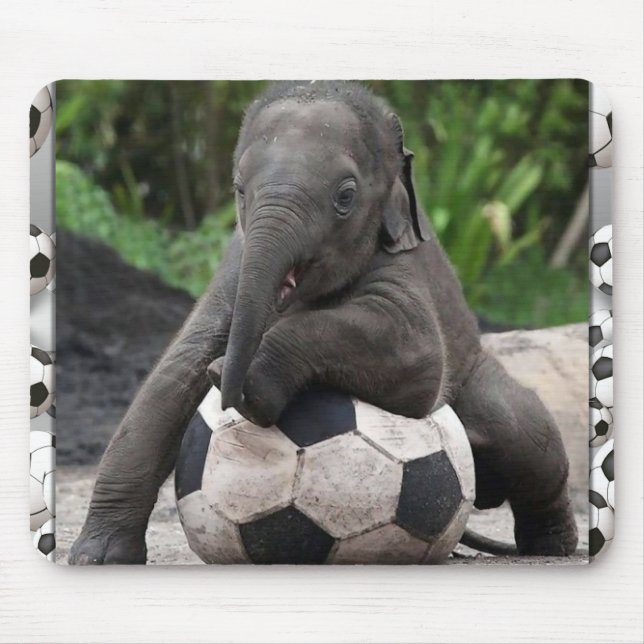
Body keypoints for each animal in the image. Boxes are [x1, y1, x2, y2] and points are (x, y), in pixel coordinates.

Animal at [69, 81, 578, 564]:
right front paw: (97, 556)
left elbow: (419, 360)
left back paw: (552, 545)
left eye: (345, 196)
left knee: (524, 433)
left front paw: (242, 380)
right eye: (239, 189)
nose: (229, 392)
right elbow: (175, 374)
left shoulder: (403, 263)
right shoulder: (234, 265)